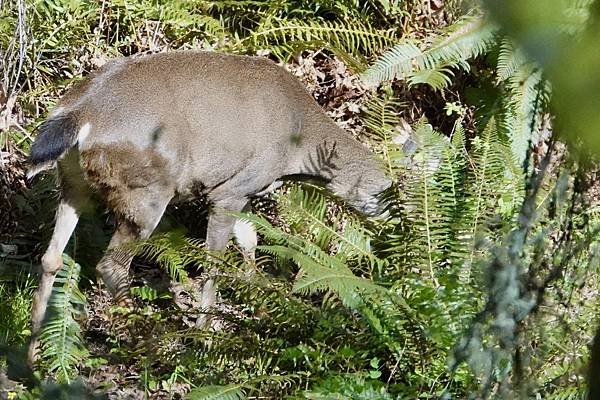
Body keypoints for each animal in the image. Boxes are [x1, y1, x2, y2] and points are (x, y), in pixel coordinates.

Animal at [25, 50, 392, 362]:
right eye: (392, 199)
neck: (299, 148)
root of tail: (80, 112)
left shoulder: (246, 191)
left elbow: (249, 240)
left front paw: (259, 303)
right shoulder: (229, 190)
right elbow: (214, 260)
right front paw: (204, 335)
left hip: (73, 181)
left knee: (51, 257)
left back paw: (31, 358)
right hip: (146, 190)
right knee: (110, 265)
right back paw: (145, 337)